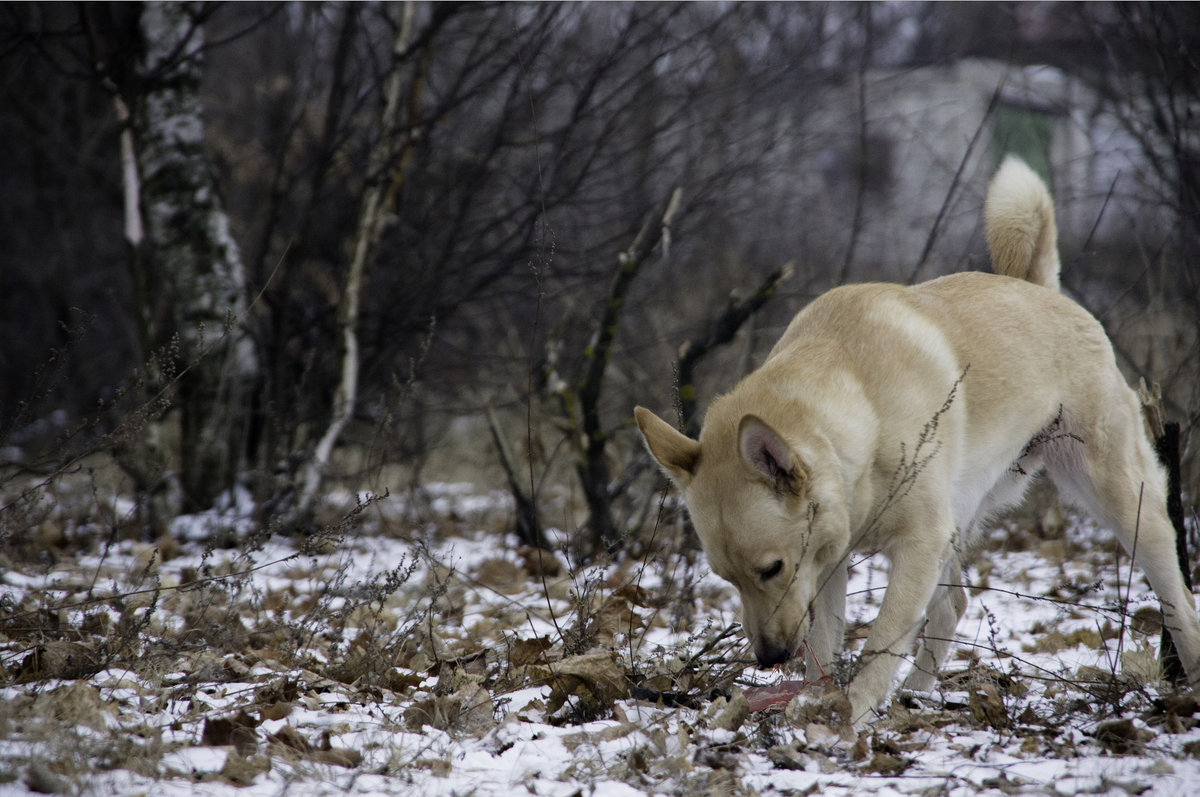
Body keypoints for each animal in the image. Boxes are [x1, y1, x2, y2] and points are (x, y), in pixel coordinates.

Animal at [638, 156, 1200, 720]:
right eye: (726, 578)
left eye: (771, 568)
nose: (770, 658)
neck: (862, 406)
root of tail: (1042, 290)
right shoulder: (829, 564)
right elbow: (826, 646)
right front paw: (819, 705)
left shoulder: (915, 545)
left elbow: (879, 643)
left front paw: (851, 716)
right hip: (963, 519)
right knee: (952, 604)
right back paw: (916, 695)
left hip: (1118, 498)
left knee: (1176, 590)